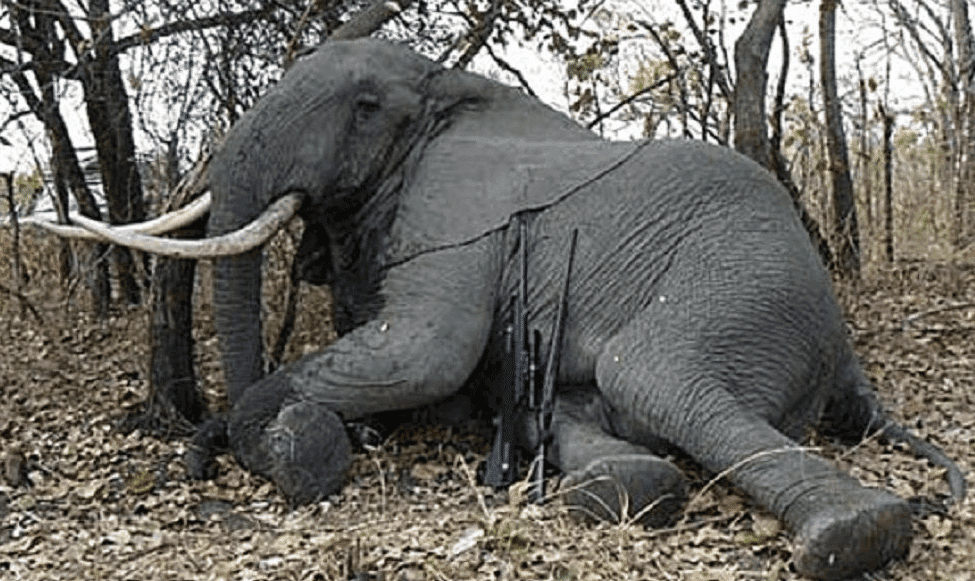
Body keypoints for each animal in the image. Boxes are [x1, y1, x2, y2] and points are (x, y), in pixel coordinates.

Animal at [72, 39, 964, 580]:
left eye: (365, 107)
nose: (203, 458)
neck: (447, 88)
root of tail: (844, 353)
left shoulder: (459, 224)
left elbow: (420, 355)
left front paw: (297, 447)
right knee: (588, 407)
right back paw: (613, 485)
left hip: (744, 283)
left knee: (653, 375)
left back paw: (851, 534)